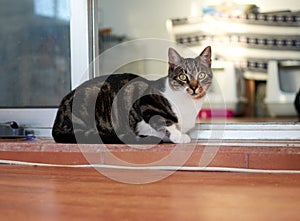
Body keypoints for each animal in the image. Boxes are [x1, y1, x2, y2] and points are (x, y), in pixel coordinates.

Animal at [51, 45, 212, 144]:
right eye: (183, 77)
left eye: (201, 75)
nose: (194, 87)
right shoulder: (144, 100)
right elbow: (166, 122)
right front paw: (180, 136)